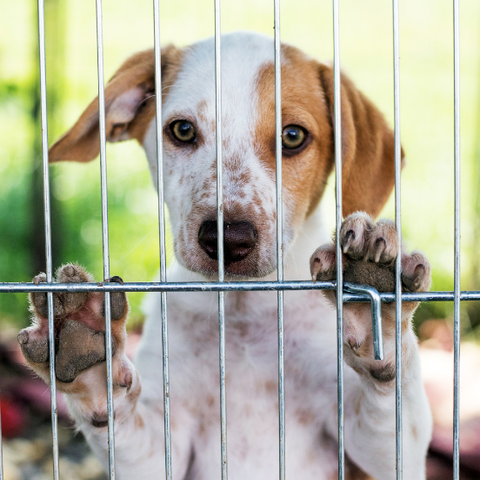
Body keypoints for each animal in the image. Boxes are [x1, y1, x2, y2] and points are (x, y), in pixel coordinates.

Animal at [17, 31, 432, 478]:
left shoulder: (377, 456)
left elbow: (393, 399)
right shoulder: (161, 448)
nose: (227, 238)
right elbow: (117, 418)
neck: (242, 308)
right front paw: (87, 356)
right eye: (182, 130)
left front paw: (376, 310)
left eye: (293, 136)